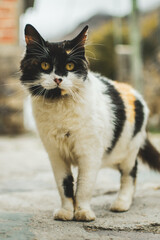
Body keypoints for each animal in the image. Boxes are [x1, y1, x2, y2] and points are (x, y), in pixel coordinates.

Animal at [20, 23, 160, 221]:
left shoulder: (89, 154)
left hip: (127, 150)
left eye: (70, 65)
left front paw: (83, 212)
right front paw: (66, 211)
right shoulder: (56, 155)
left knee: (130, 172)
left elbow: (84, 185)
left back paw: (122, 203)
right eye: (45, 65)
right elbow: (64, 185)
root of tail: (136, 94)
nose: (58, 79)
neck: (60, 108)